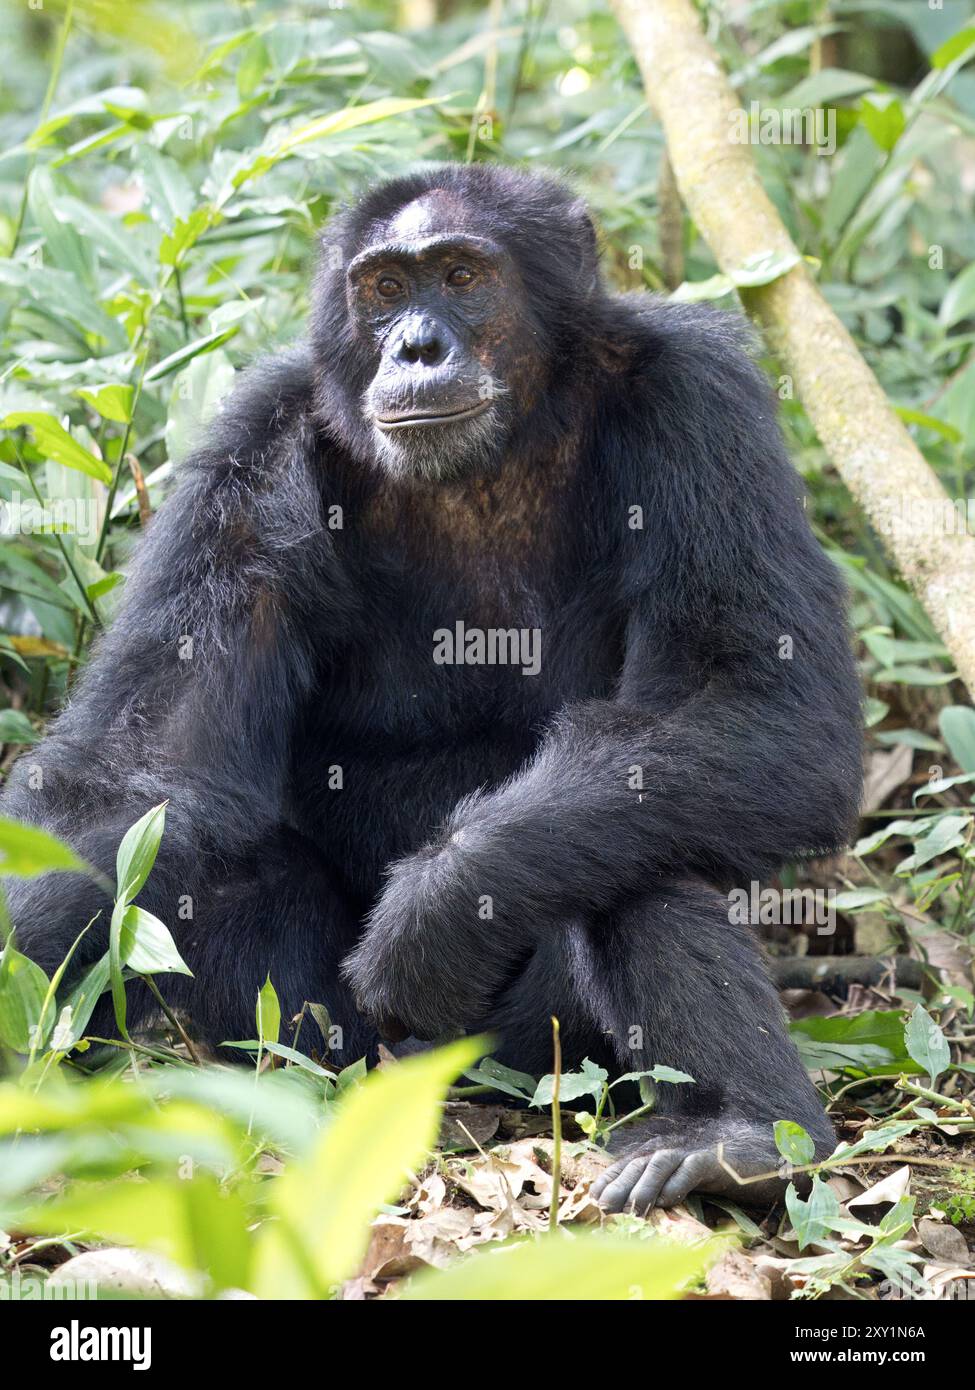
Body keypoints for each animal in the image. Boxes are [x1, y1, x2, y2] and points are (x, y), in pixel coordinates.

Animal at [1, 159, 856, 1206]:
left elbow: (763, 703)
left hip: (536, 1049)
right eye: (381, 288)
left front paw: (441, 902)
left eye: (459, 276)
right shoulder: (250, 452)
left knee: (633, 824)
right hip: (334, 1042)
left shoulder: (700, 396)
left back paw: (739, 1135)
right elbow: (140, 771)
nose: (415, 345)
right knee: (201, 853)